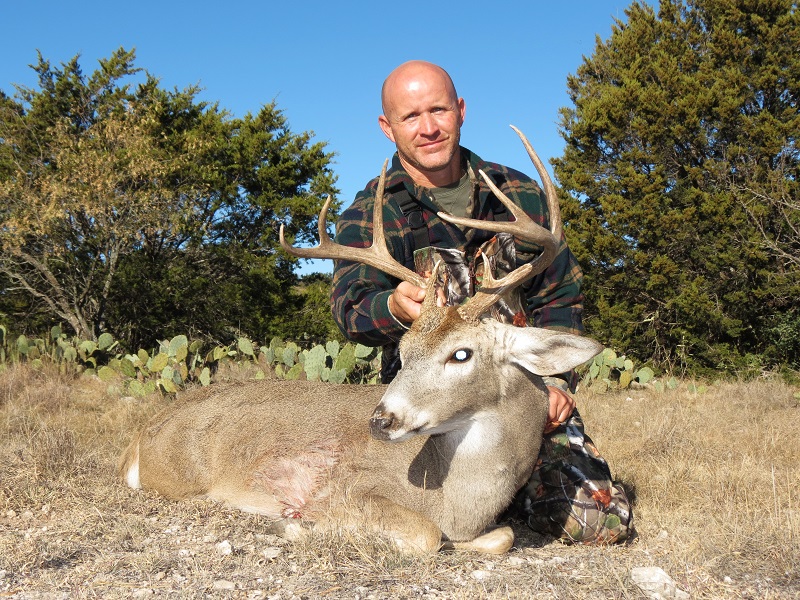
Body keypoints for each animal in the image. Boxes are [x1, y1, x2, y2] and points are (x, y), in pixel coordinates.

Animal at [118, 127, 602, 554]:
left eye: (461, 354)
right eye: (403, 353)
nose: (381, 420)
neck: (456, 501)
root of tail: (141, 436)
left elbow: (500, 537)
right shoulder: (348, 486)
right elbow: (427, 536)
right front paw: (299, 528)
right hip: (183, 476)